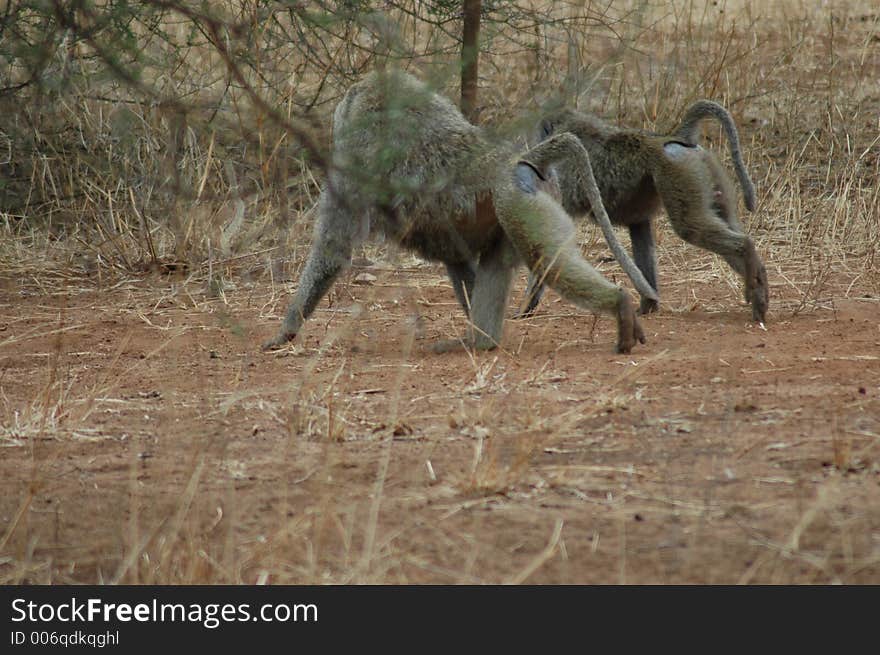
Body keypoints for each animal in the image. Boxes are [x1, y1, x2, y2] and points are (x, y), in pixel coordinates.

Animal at [262, 70, 652, 356]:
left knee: (547, 260)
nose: (336, 117)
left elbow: (334, 247)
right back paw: (481, 341)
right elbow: (458, 257)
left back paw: (619, 304)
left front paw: (286, 330)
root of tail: (521, 162)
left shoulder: (353, 162)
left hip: (520, 205)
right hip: (518, 209)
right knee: (493, 262)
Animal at [520, 101, 768, 324]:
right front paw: (648, 304)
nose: (533, 155)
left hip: (678, 171)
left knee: (692, 228)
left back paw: (748, 259)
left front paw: (525, 308)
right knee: (725, 225)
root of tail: (673, 138)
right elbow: (640, 230)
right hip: (707, 171)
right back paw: (759, 290)